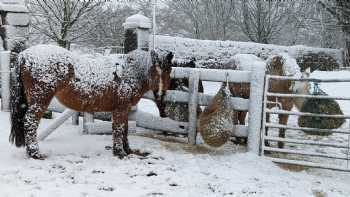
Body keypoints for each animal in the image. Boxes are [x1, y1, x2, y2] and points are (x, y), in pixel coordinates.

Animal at [10, 44, 174, 159]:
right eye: (156, 68)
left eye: (168, 69)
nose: (161, 95)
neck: (128, 72)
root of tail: (24, 55)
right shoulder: (121, 109)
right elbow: (119, 129)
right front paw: (120, 153)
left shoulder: (124, 109)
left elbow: (125, 129)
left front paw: (127, 150)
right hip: (40, 100)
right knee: (30, 122)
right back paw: (35, 153)